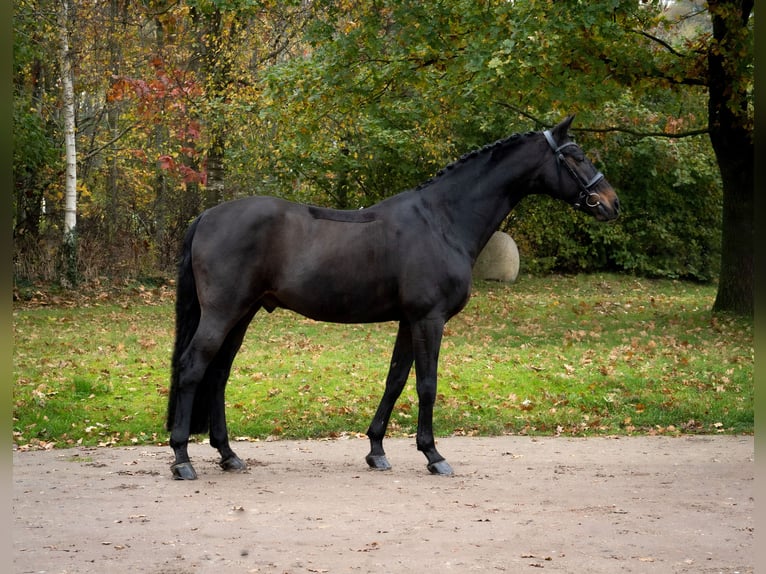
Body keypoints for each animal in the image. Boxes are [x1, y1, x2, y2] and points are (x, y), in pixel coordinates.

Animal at [165, 113, 620, 482]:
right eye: (576, 156)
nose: (611, 204)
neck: (442, 221)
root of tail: (206, 216)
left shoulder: (408, 319)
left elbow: (396, 379)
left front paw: (376, 450)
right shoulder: (429, 319)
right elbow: (426, 384)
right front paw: (434, 455)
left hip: (243, 313)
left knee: (218, 375)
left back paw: (228, 455)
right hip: (223, 312)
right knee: (193, 368)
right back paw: (182, 458)